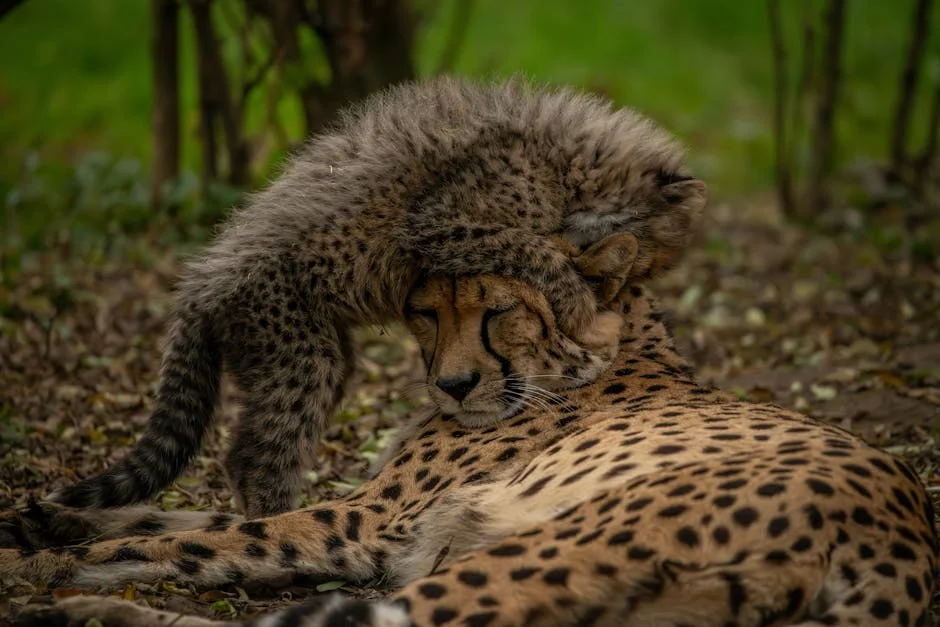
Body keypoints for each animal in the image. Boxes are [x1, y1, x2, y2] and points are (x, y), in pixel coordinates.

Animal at [3, 231, 936, 627]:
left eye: (499, 311)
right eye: (423, 310)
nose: (452, 384)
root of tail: (907, 525)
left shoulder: (370, 520)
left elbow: (213, 535)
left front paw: (45, 563)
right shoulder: (371, 515)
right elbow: (187, 517)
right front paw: (43, 522)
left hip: (550, 544)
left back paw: (76, 608)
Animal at [46, 75, 708, 519]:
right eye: (650, 257)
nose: (619, 276)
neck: (571, 160)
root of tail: (201, 282)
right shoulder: (442, 224)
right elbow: (531, 252)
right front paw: (583, 311)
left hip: (321, 354)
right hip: (299, 355)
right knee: (255, 458)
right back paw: (274, 522)